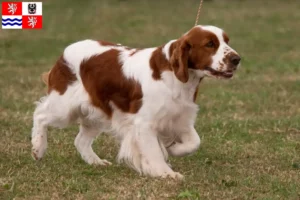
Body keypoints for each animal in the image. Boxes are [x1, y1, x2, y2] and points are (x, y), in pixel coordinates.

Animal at [31, 25, 240, 180]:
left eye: (227, 41)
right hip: (64, 107)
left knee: (80, 140)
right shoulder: (144, 123)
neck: (176, 77)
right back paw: (38, 148)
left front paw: (173, 148)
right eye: (210, 44)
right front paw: (166, 173)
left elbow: (194, 142)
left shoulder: (180, 117)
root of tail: (64, 53)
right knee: (40, 115)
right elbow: (154, 152)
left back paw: (96, 162)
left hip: (98, 112)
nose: (237, 59)